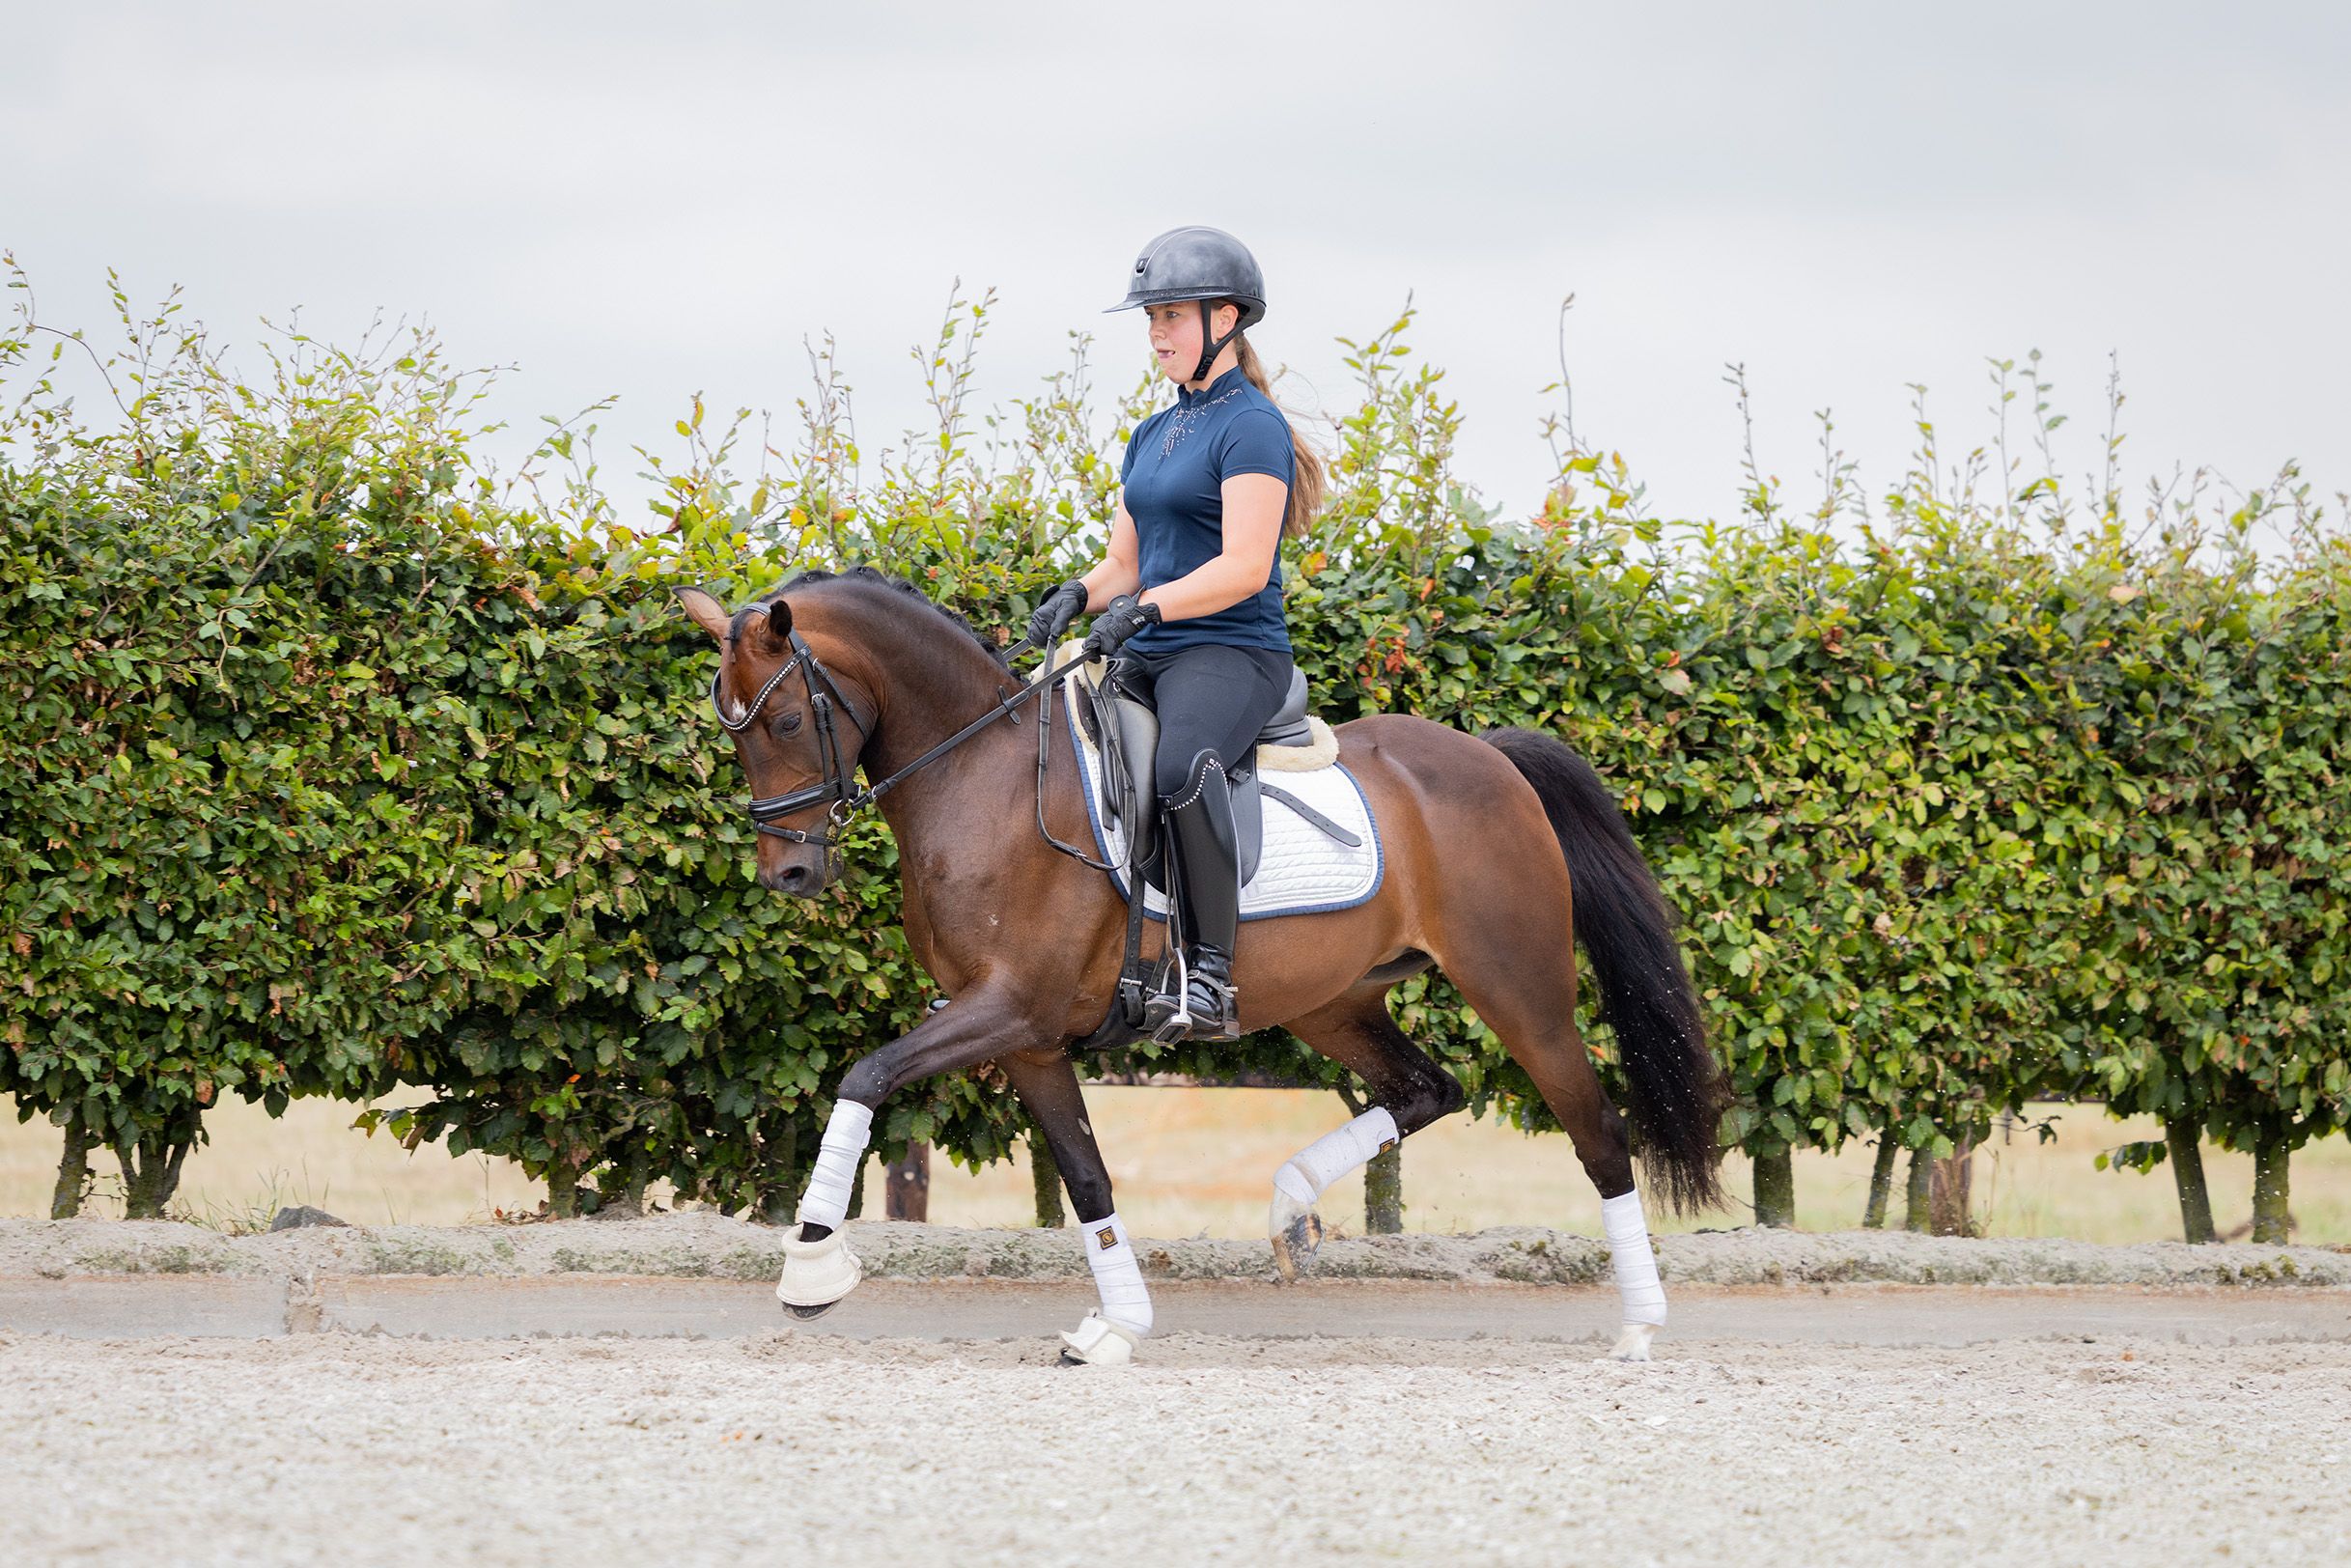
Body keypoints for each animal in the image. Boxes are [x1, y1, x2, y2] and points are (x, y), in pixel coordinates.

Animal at [675, 566, 1727, 1365]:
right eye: (729, 730)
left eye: (779, 724)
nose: (788, 874)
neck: (981, 778)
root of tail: (1493, 759)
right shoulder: (1024, 1038)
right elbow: (1087, 1177)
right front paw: (1117, 1325)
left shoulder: (1007, 1007)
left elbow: (864, 1075)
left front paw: (812, 1263)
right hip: (1335, 1001)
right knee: (1428, 1088)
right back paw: (1290, 1204)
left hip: (1518, 987)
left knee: (1598, 1135)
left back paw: (1638, 1328)